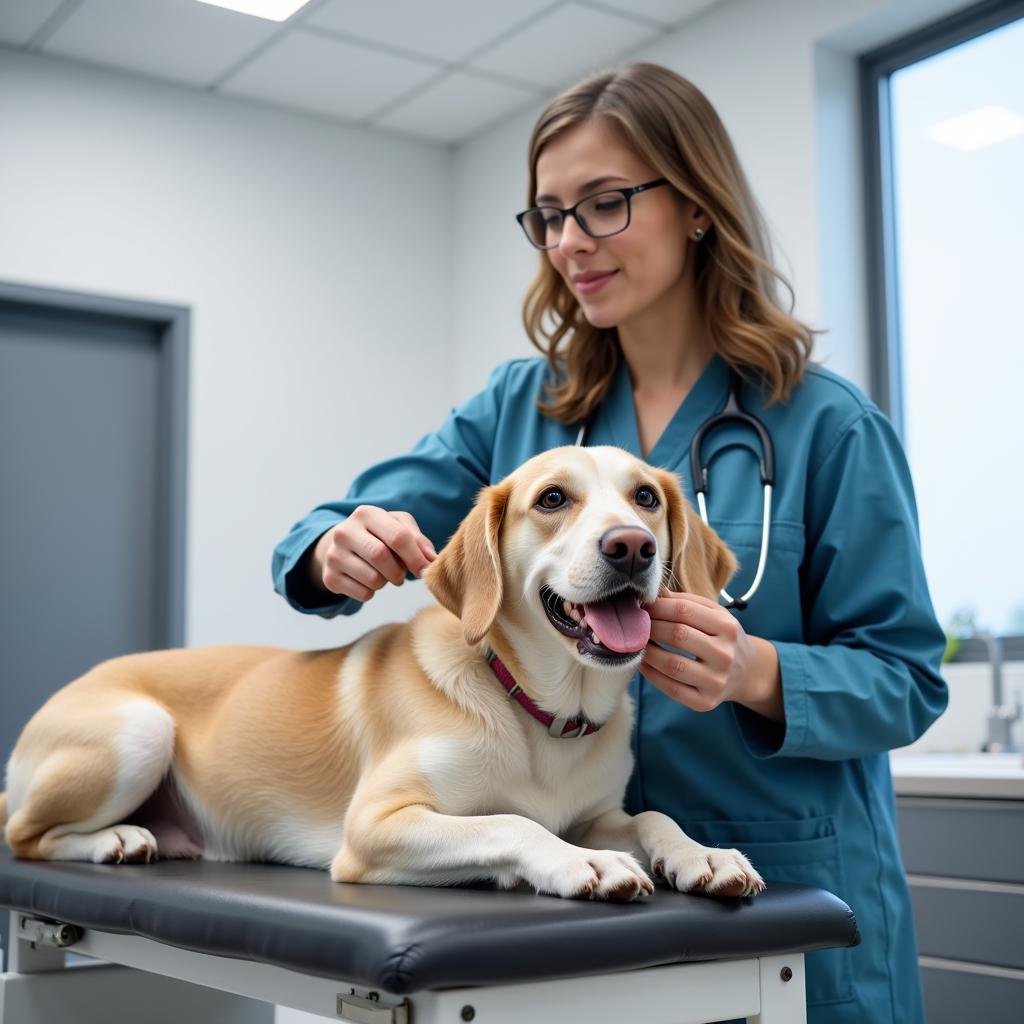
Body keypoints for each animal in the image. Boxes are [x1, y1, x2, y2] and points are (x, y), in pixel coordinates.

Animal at [2, 444, 761, 901]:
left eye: (645, 498)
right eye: (552, 499)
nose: (631, 546)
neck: (534, 707)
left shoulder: (596, 814)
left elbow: (652, 815)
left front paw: (701, 854)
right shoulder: (374, 825)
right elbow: (510, 823)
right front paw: (586, 863)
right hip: (140, 730)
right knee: (24, 835)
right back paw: (118, 838)